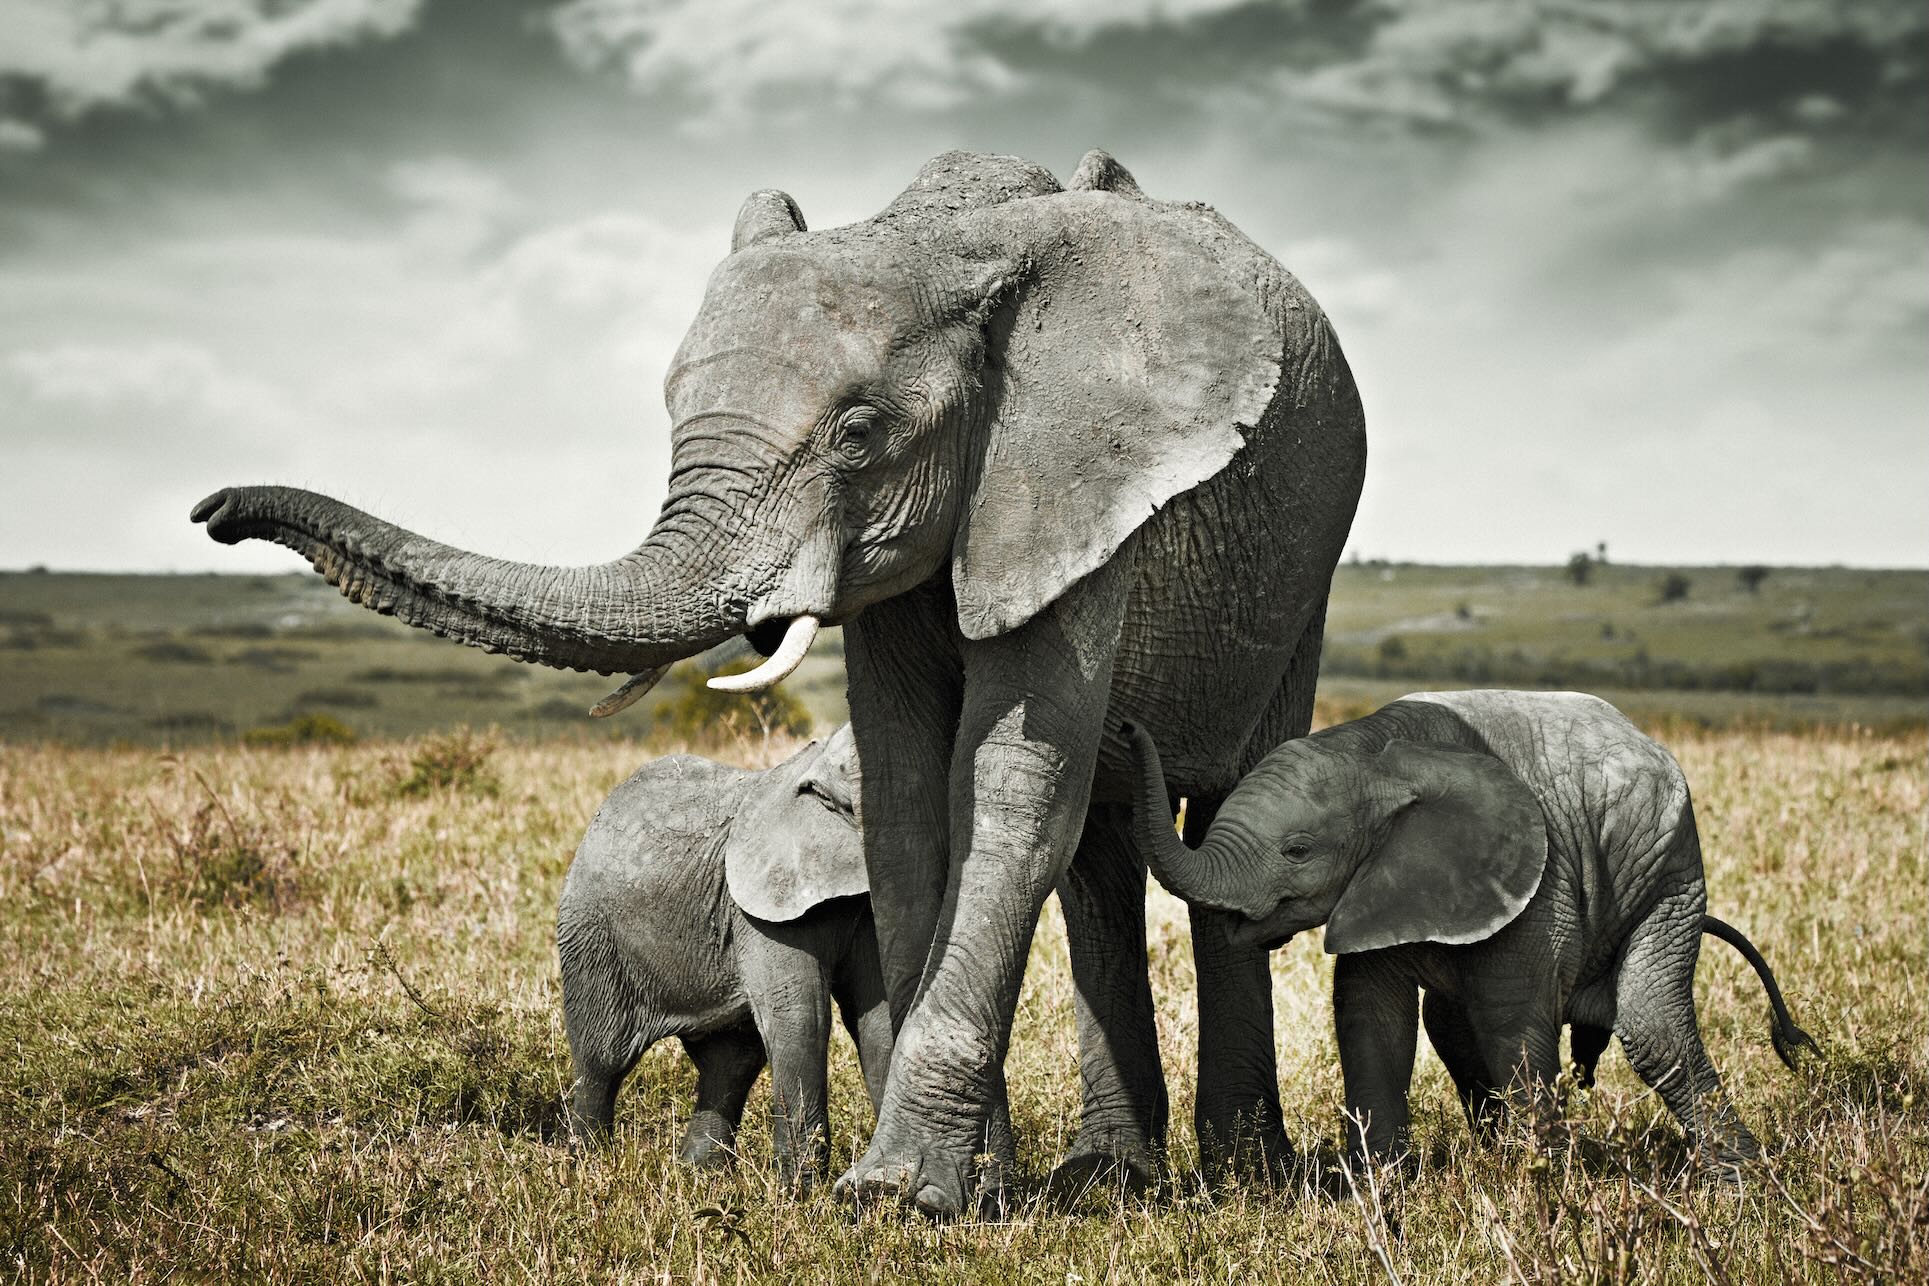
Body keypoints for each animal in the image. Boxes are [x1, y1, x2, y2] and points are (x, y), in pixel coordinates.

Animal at [558, 724, 893, 1183]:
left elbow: (876, 1021)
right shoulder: (762, 912)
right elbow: (802, 1018)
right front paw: (800, 1195)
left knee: (731, 1061)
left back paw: (701, 1177)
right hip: (591, 934)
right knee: (601, 1057)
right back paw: (590, 1169)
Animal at [1125, 690, 1817, 1174]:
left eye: (1298, 850)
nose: (1129, 728)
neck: (1376, 754)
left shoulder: (1539, 877)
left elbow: (1510, 1022)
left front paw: (1542, 1184)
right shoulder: (1382, 879)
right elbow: (1371, 1016)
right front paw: (1383, 1186)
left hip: (1670, 872)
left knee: (1651, 1028)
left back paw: (1739, 1186)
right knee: (1452, 1025)